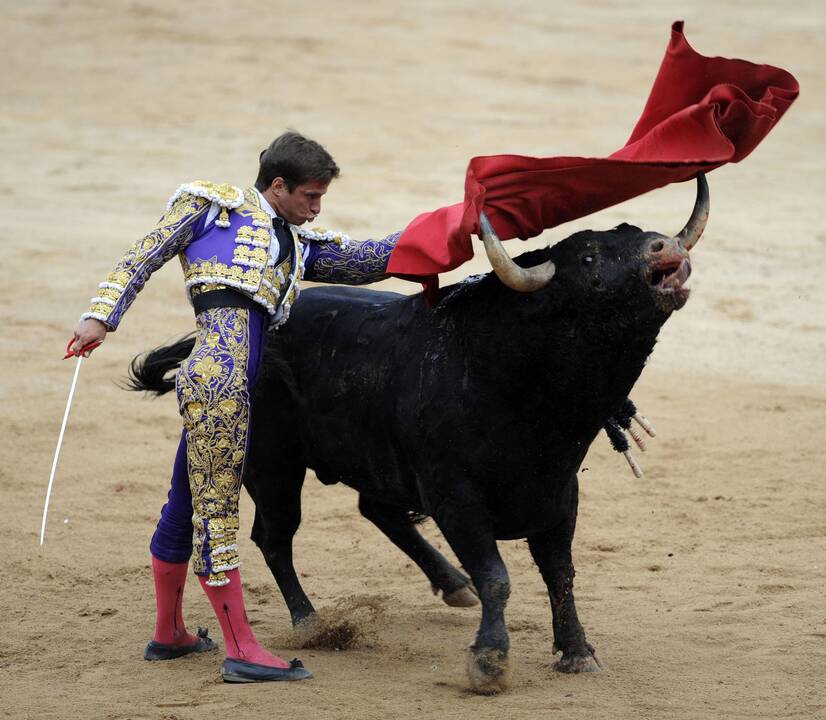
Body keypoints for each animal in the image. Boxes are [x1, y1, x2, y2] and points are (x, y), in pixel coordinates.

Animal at [132, 174, 704, 692]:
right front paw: (489, 662)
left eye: (635, 232)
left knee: (375, 510)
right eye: (588, 259)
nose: (666, 245)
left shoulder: (559, 494)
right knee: (273, 537)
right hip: (271, 465)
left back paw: (451, 584)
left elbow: (559, 574)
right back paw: (310, 622)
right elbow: (498, 576)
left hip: (375, 461)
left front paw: (577, 651)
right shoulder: (456, 496)